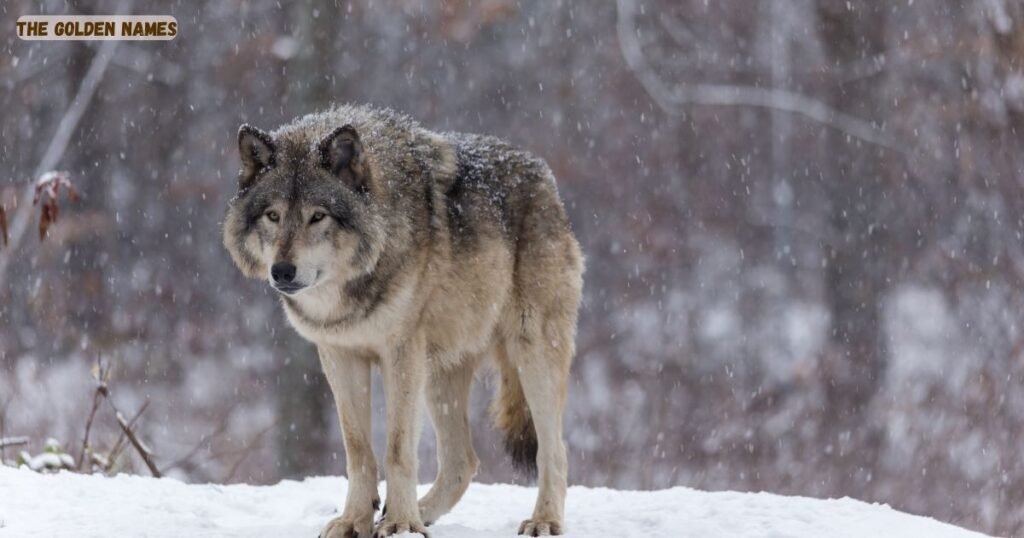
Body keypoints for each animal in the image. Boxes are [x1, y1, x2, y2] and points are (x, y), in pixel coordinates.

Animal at [222, 104, 583, 537]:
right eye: (273, 215)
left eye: (317, 216)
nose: (282, 271)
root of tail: (544, 176)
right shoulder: (340, 355)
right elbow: (358, 450)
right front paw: (358, 520)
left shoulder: (401, 354)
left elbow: (396, 449)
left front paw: (400, 524)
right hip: (440, 376)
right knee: (462, 461)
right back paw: (422, 512)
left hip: (531, 354)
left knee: (554, 449)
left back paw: (543, 519)